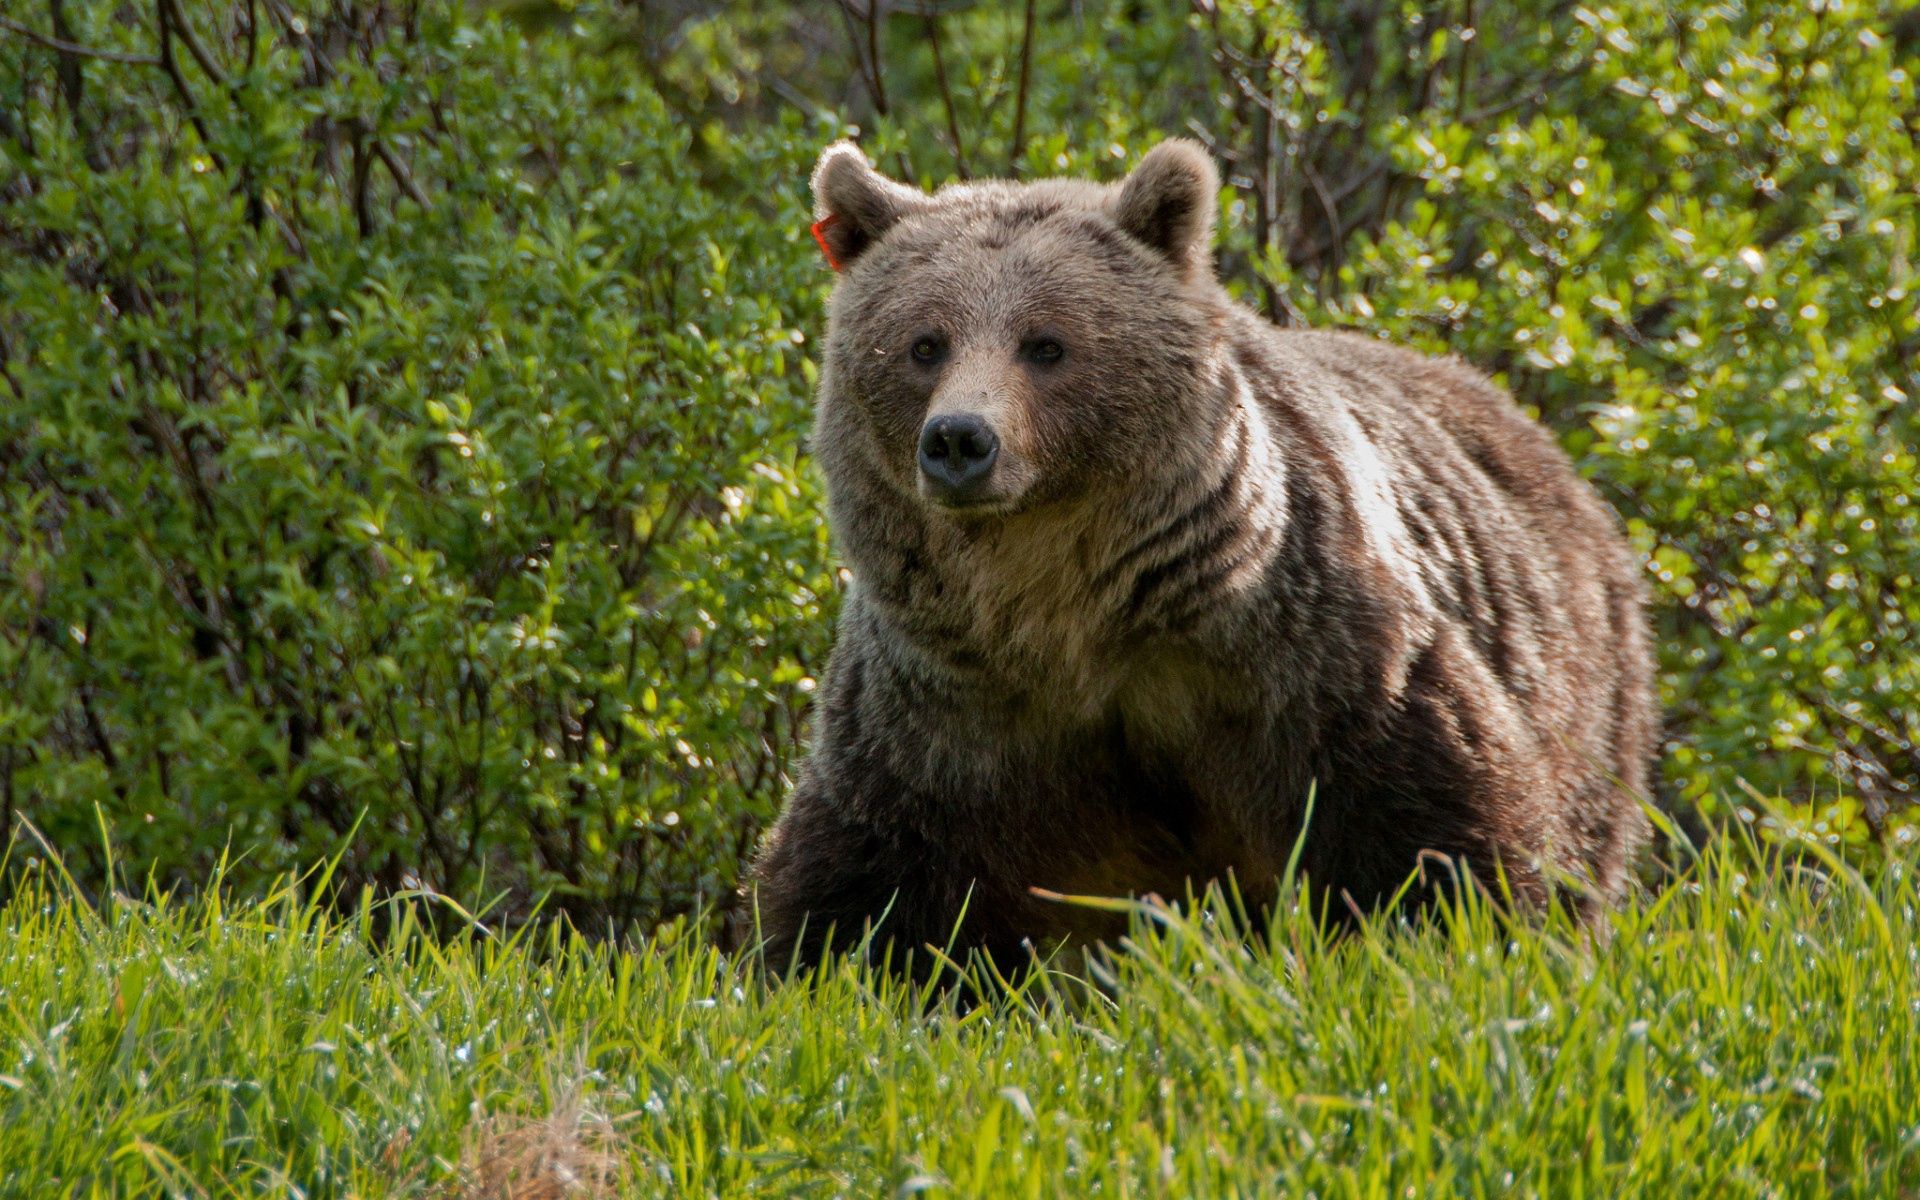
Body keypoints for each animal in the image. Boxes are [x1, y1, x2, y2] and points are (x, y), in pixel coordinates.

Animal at [741, 135, 1658, 967]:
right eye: (924, 343)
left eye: (1046, 344)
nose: (960, 440)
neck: (1067, 613)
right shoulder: (944, 717)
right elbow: (869, 882)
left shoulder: (1308, 663)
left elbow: (1433, 831)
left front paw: (1464, 937)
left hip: (1586, 683)